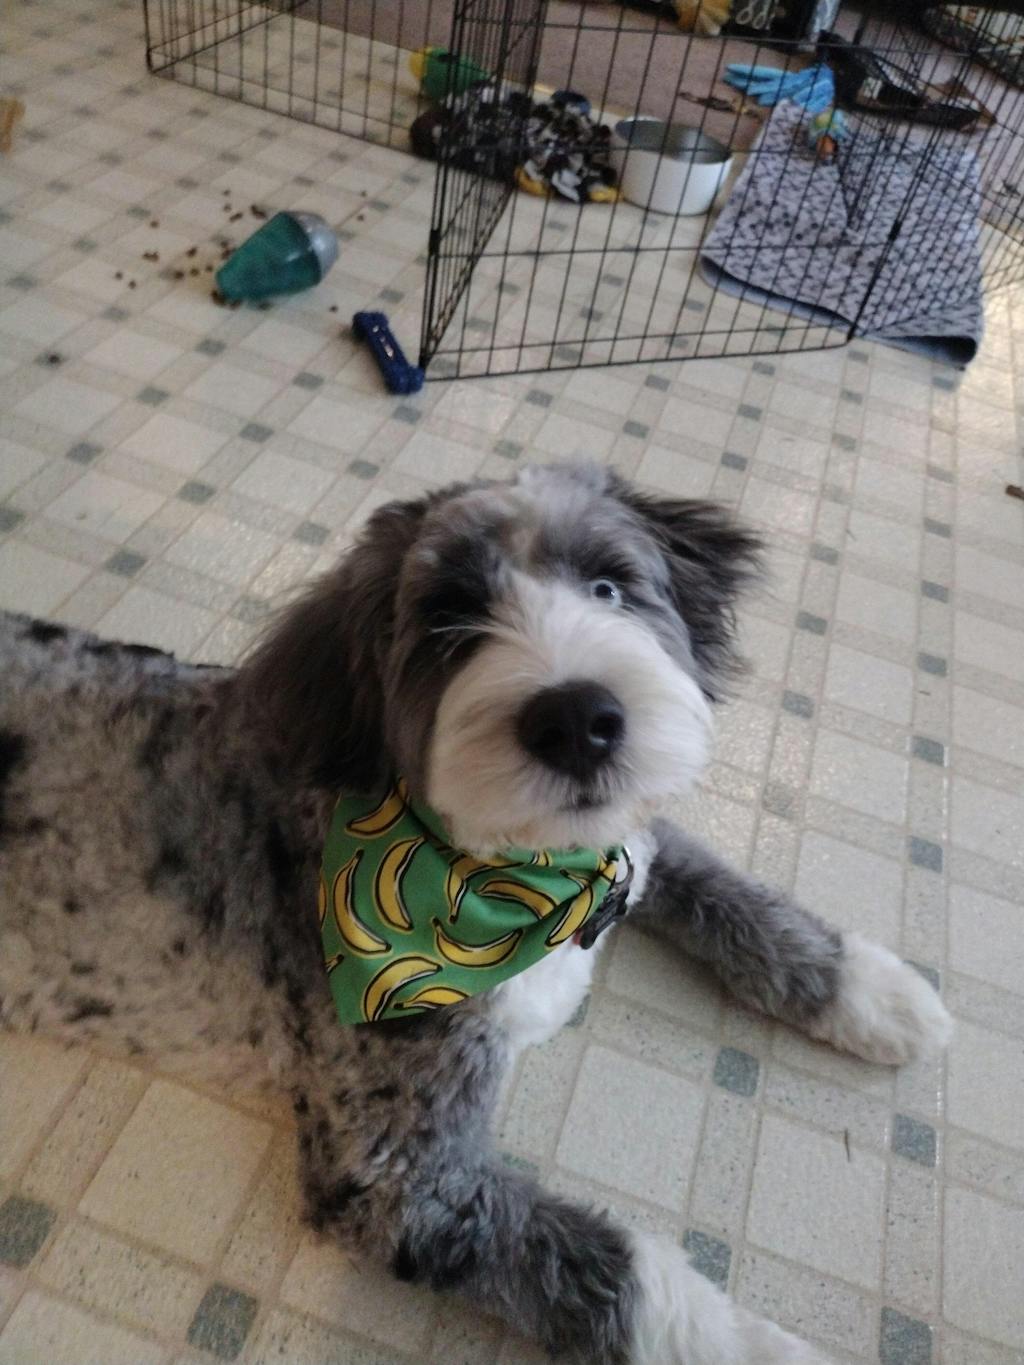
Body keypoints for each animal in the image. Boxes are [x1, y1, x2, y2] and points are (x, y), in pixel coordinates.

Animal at [0, 461, 951, 1364]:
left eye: (609, 586)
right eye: (447, 622)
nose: (579, 717)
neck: (513, 881)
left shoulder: (625, 853)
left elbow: (712, 879)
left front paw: (865, 987)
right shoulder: (399, 1176)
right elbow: (620, 1272)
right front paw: (759, 1344)